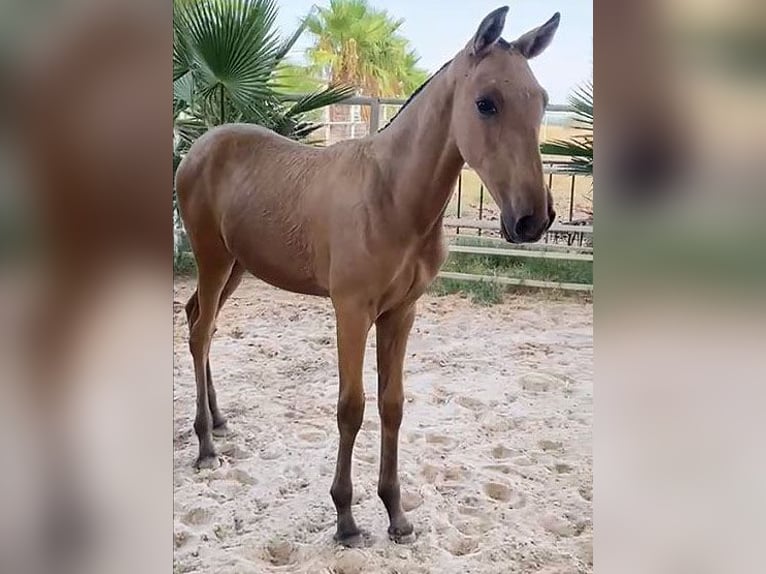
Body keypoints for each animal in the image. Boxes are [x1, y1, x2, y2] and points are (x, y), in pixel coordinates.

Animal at [180, 6, 564, 548]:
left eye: (542, 101)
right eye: (485, 103)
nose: (533, 219)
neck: (393, 198)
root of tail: (199, 146)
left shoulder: (401, 312)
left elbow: (392, 405)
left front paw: (396, 513)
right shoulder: (351, 312)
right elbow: (351, 407)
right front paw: (345, 518)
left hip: (236, 265)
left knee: (202, 322)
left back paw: (217, 419)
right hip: (213, 260)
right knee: (198, 332)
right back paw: (206, 446)